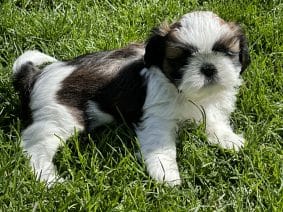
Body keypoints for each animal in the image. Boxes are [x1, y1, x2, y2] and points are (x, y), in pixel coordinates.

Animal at [12, 11, 251, 186]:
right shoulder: (157, 119)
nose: (208, 67)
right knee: (35, 147)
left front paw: (227, 139)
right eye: (182, 59)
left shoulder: (210, 106)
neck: (182, 91)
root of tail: (37, 75)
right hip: (61, 118)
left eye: (225, 52)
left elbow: (214, 119)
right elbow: (161, 149)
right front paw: (167, 176)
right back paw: (49, 179)